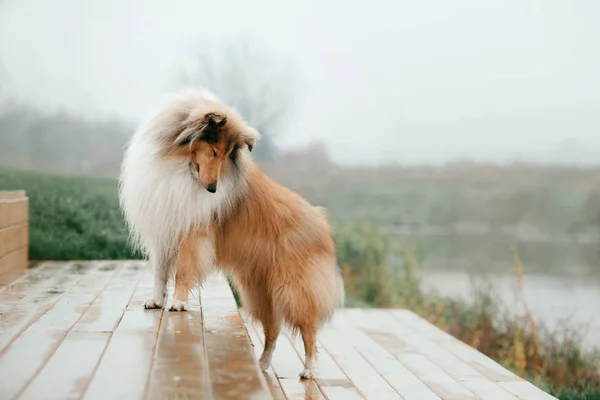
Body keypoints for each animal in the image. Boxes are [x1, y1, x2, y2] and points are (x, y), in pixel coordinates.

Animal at [118, 87, 342, 378]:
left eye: (225, 156)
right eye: (214, 151)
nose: (213, 190)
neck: (179, 166)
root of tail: (321, 222)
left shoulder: (192, 235)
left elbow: (182, 272)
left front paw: (178, 303)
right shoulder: (164, 231)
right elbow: (160, 272)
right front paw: (156, 300)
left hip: (292, 289)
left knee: (309, 329)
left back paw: (310, 369)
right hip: (259, 291)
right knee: (273, 329)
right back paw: (262, 364)